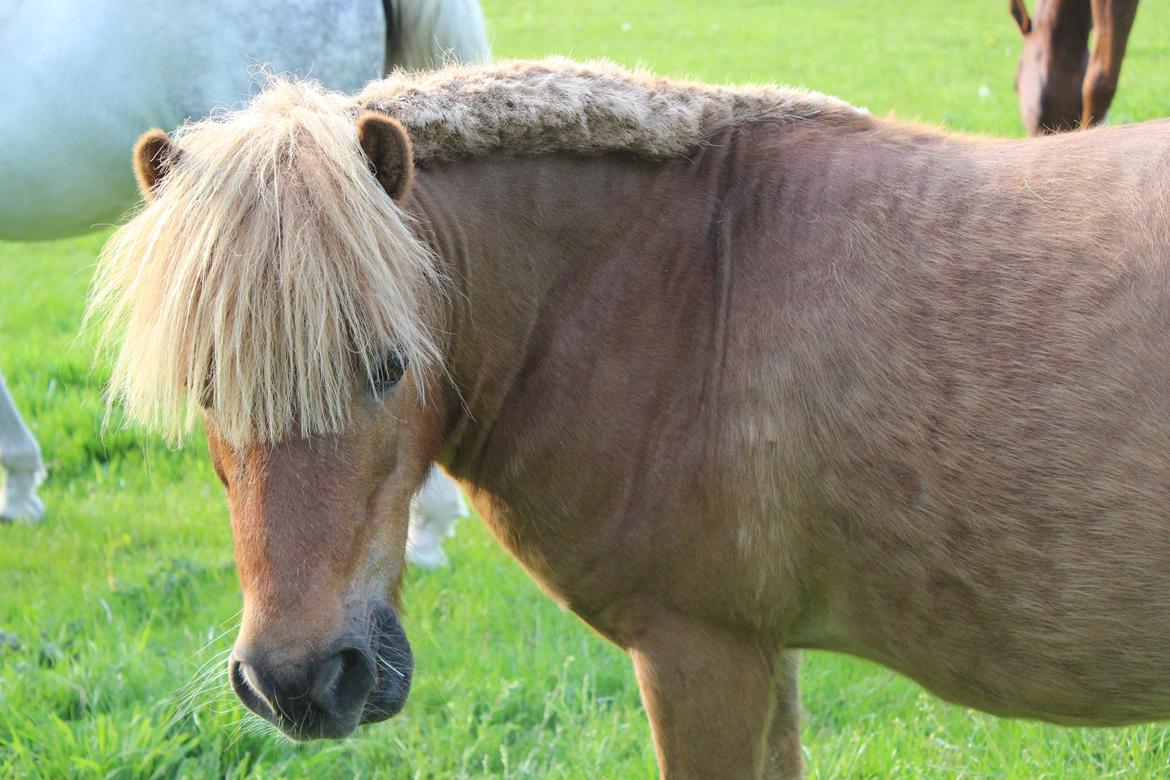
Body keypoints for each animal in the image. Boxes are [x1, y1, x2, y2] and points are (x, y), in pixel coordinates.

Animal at [88, 58, 1170, 778]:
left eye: (390, 365)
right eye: (206, 386)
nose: (299, 683)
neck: (688, 277)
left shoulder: (700, 655)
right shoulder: (762, 651)